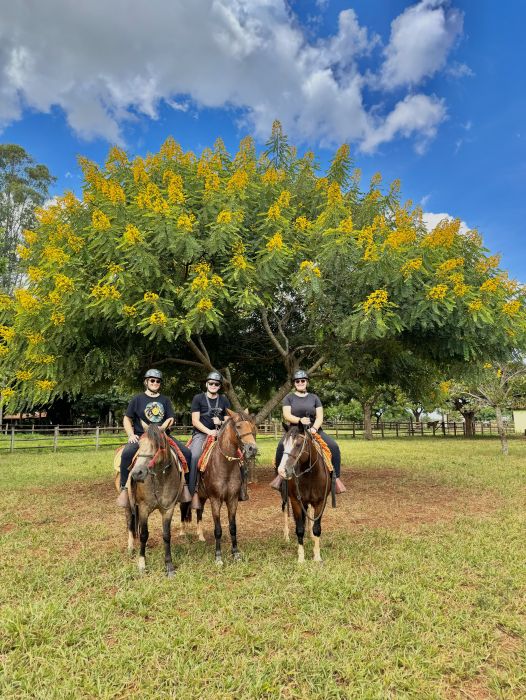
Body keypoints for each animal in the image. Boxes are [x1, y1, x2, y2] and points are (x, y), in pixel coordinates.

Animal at [122, 424, 186, 576]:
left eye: (159, 445)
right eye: (139, 444)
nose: (136, 473)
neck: (159, 479)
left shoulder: (168, 509)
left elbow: (166, 535)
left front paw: (169, 566)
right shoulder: (144, 508)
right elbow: (144, 534)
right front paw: (142, 564)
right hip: (129, 505)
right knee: (130, 523)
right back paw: (131, 546)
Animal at [183, 408, 258, 568]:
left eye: (252, 426)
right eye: (238, 426)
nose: (252, 449)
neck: (225, 465)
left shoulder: (232, 500)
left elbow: (233, 527)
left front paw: (236, 554)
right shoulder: (215, 500)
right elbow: (218, 529)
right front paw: (218, 557)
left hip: (202, 496)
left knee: (199, 511)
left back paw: (200, 536)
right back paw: (183, 533)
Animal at [278, 422, 332, 564]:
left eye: (298, 444)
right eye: (284, 444)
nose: (282, 471)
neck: (310, 474)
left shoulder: (320, 502)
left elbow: (317, 528)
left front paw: (317, 556)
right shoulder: (296, 501)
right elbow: (299, 529)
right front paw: (301, 558)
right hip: (285, 497)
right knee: (285, 509)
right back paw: (286, 536)